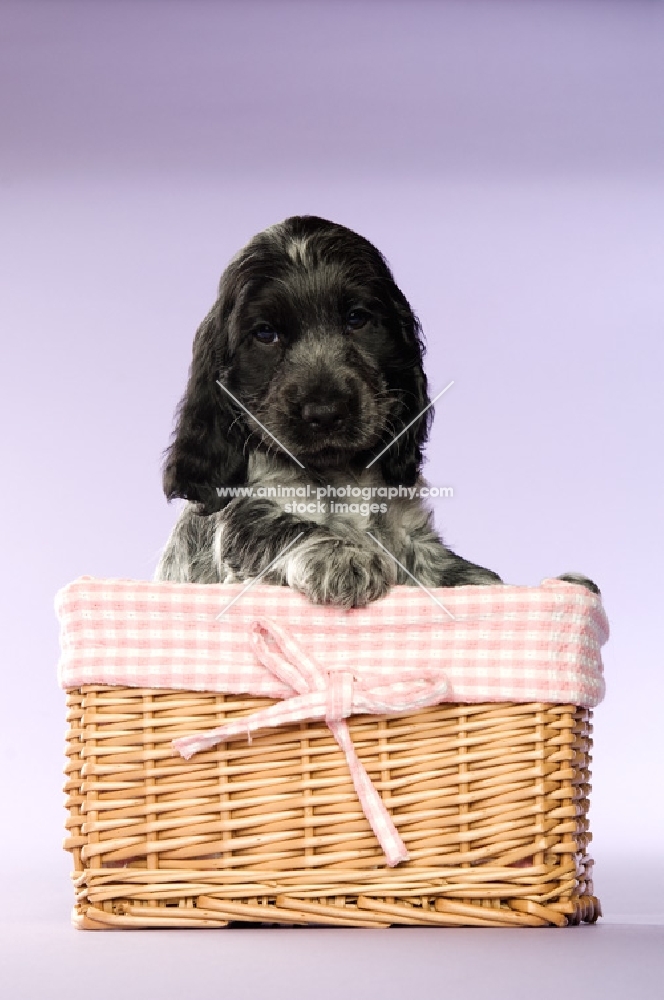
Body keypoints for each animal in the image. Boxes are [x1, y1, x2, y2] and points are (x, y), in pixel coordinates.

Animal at [154, 217, 596, 600]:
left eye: (357, 319)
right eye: (265, 334)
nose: (325, 411)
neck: (341, 475)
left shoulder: (412, 537)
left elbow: (463, 573)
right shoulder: (246, 511)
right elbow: (285, 525)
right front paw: (342, 555)